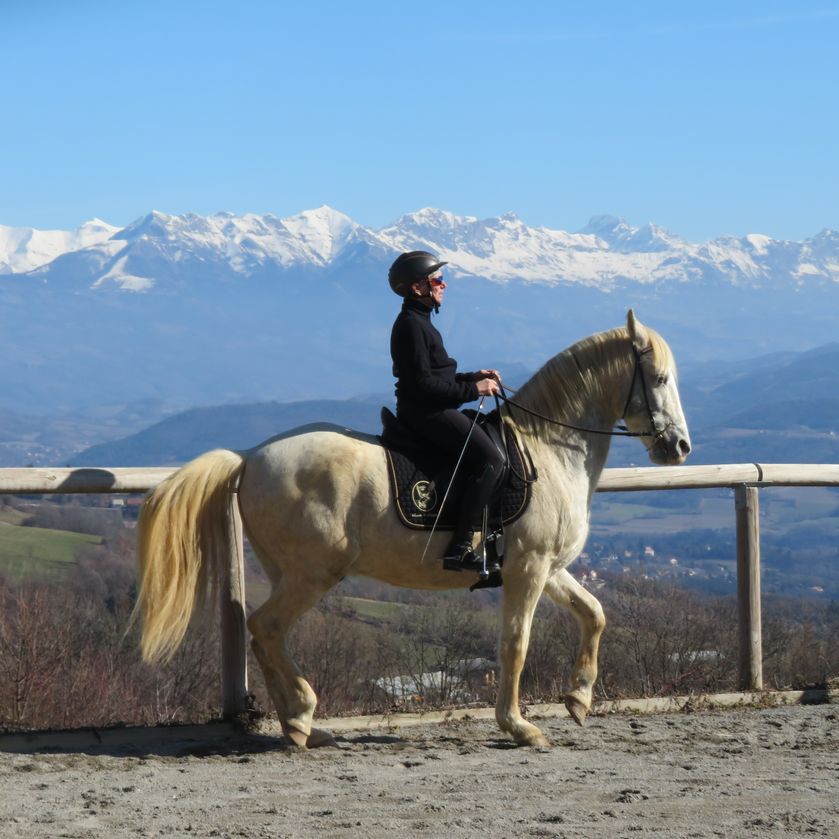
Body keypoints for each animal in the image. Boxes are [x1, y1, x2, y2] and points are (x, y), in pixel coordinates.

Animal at [134, 310, 691, 748]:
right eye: (660, 379)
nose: (679, 447)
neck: (548, 450)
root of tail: (249, 456)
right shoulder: (528, 570)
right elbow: (516, 643)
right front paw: (519, 727)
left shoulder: (548, 568)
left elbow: (594, 614)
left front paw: (578, 699)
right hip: (314, 573)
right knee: (266, 627)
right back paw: (302, 717)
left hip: (286, 570)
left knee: (268, 635)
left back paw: (301, 724)